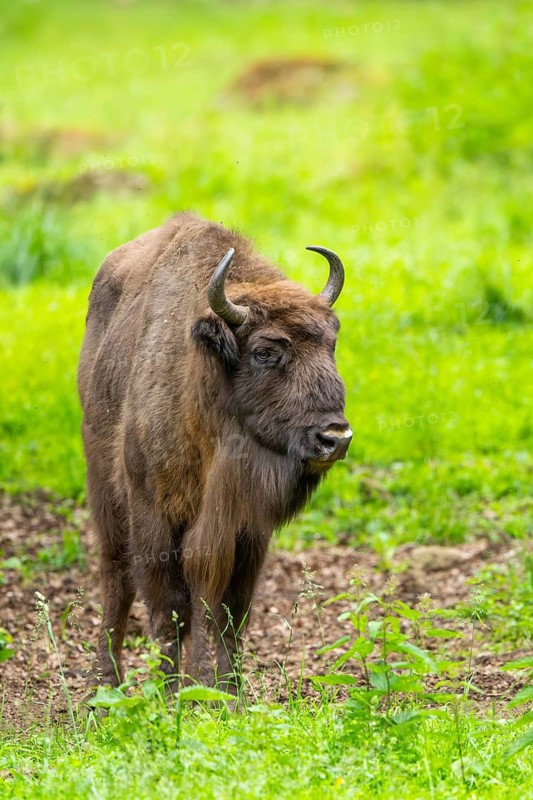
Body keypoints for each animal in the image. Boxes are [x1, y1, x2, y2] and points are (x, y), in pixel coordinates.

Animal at [78, 212, 352, 690]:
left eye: (329, 345)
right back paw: (105, 680)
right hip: (104, 487)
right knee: (116, 575)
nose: (335, 438)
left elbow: (227, 605)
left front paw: (226, 689)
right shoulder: (153, 513)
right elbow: (171, 605)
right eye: (264, 352)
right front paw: (173, 689)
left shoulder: (246, 527)